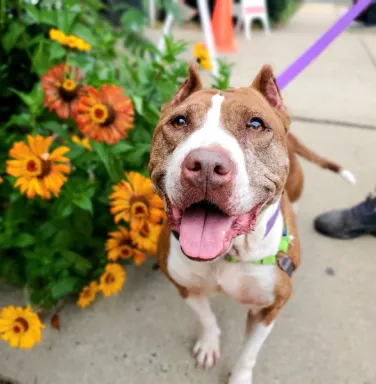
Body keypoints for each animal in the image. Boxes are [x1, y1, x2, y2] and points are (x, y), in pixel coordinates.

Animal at [149, 64, 352, 382]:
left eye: (256, 125)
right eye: (179, 121)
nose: (206, 165)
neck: (228, 254)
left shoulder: (269, 307)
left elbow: (248, 352)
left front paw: (240, 376)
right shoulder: (185, 286)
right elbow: (207, 318)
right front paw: (209, 344)